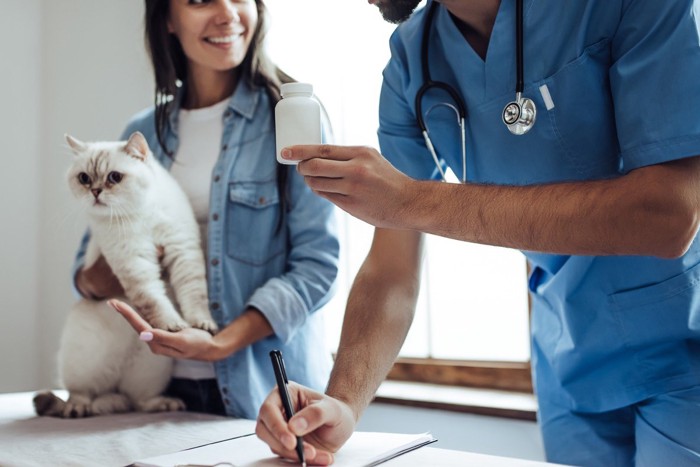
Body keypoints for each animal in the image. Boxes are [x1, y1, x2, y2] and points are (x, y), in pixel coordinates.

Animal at [32, 133, 217, 420]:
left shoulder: (183, 251)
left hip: (150, 370)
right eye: (84, 178)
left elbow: (195, 297)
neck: (142, 214)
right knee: (82, 393)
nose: (96, 191)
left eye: (114, 177)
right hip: (82, 363)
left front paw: (201, 325)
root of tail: (115, 387)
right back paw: (78, 408)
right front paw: (172, 325)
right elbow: (154, 300)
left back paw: (162, 404)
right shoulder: (134, 261)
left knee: (138, 400)